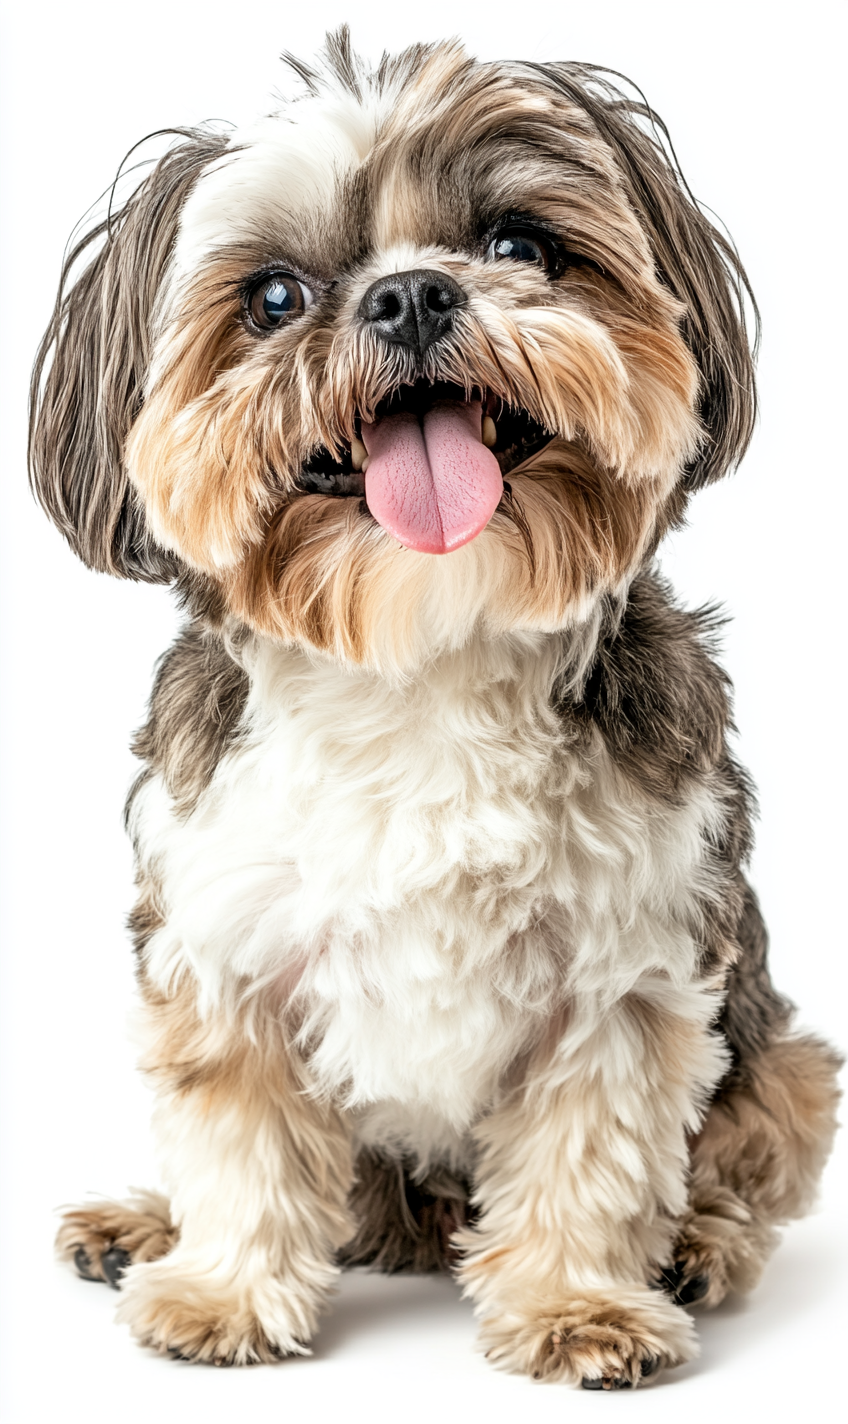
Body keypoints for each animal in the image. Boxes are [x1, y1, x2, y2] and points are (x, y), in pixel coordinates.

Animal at [31, 27, 842, 1384]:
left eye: (518, 242)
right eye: (273, 298)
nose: (410, 294)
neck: (421, 654)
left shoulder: (625, 962)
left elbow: (593, 1143)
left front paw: (578, 1301)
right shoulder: (223, 940)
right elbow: (236, 1127)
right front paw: (221, 1286)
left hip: (782, 1058)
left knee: (742, 1150)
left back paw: (696, 1244)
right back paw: (146, 1225)